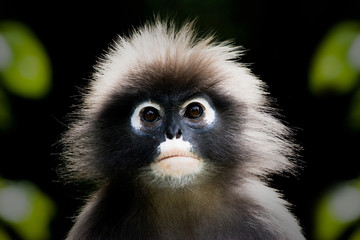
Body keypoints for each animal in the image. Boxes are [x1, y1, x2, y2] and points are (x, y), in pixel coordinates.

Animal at [60, 19, 306, 240]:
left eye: (195, 111)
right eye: (150, 115)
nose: (173, 133)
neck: (182, 201)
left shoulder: (268, 217)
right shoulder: (97, 220)